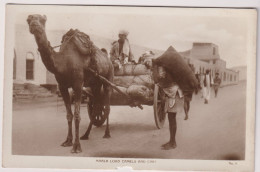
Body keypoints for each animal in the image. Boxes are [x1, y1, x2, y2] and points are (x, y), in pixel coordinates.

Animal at [26, 14, 114, 153]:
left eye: (43, 20)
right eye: (28, 20)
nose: (34, 25)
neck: (63, 62)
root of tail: (107, 58)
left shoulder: (78, 84)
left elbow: (77, 115)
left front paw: (76, 146)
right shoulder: (62, 87)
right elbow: (69, 115)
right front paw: (67, 141)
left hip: (108, 78)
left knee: (107, 105)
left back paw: (107, 133)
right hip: (95, 83)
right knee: (96, 107)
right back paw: (86, 135)